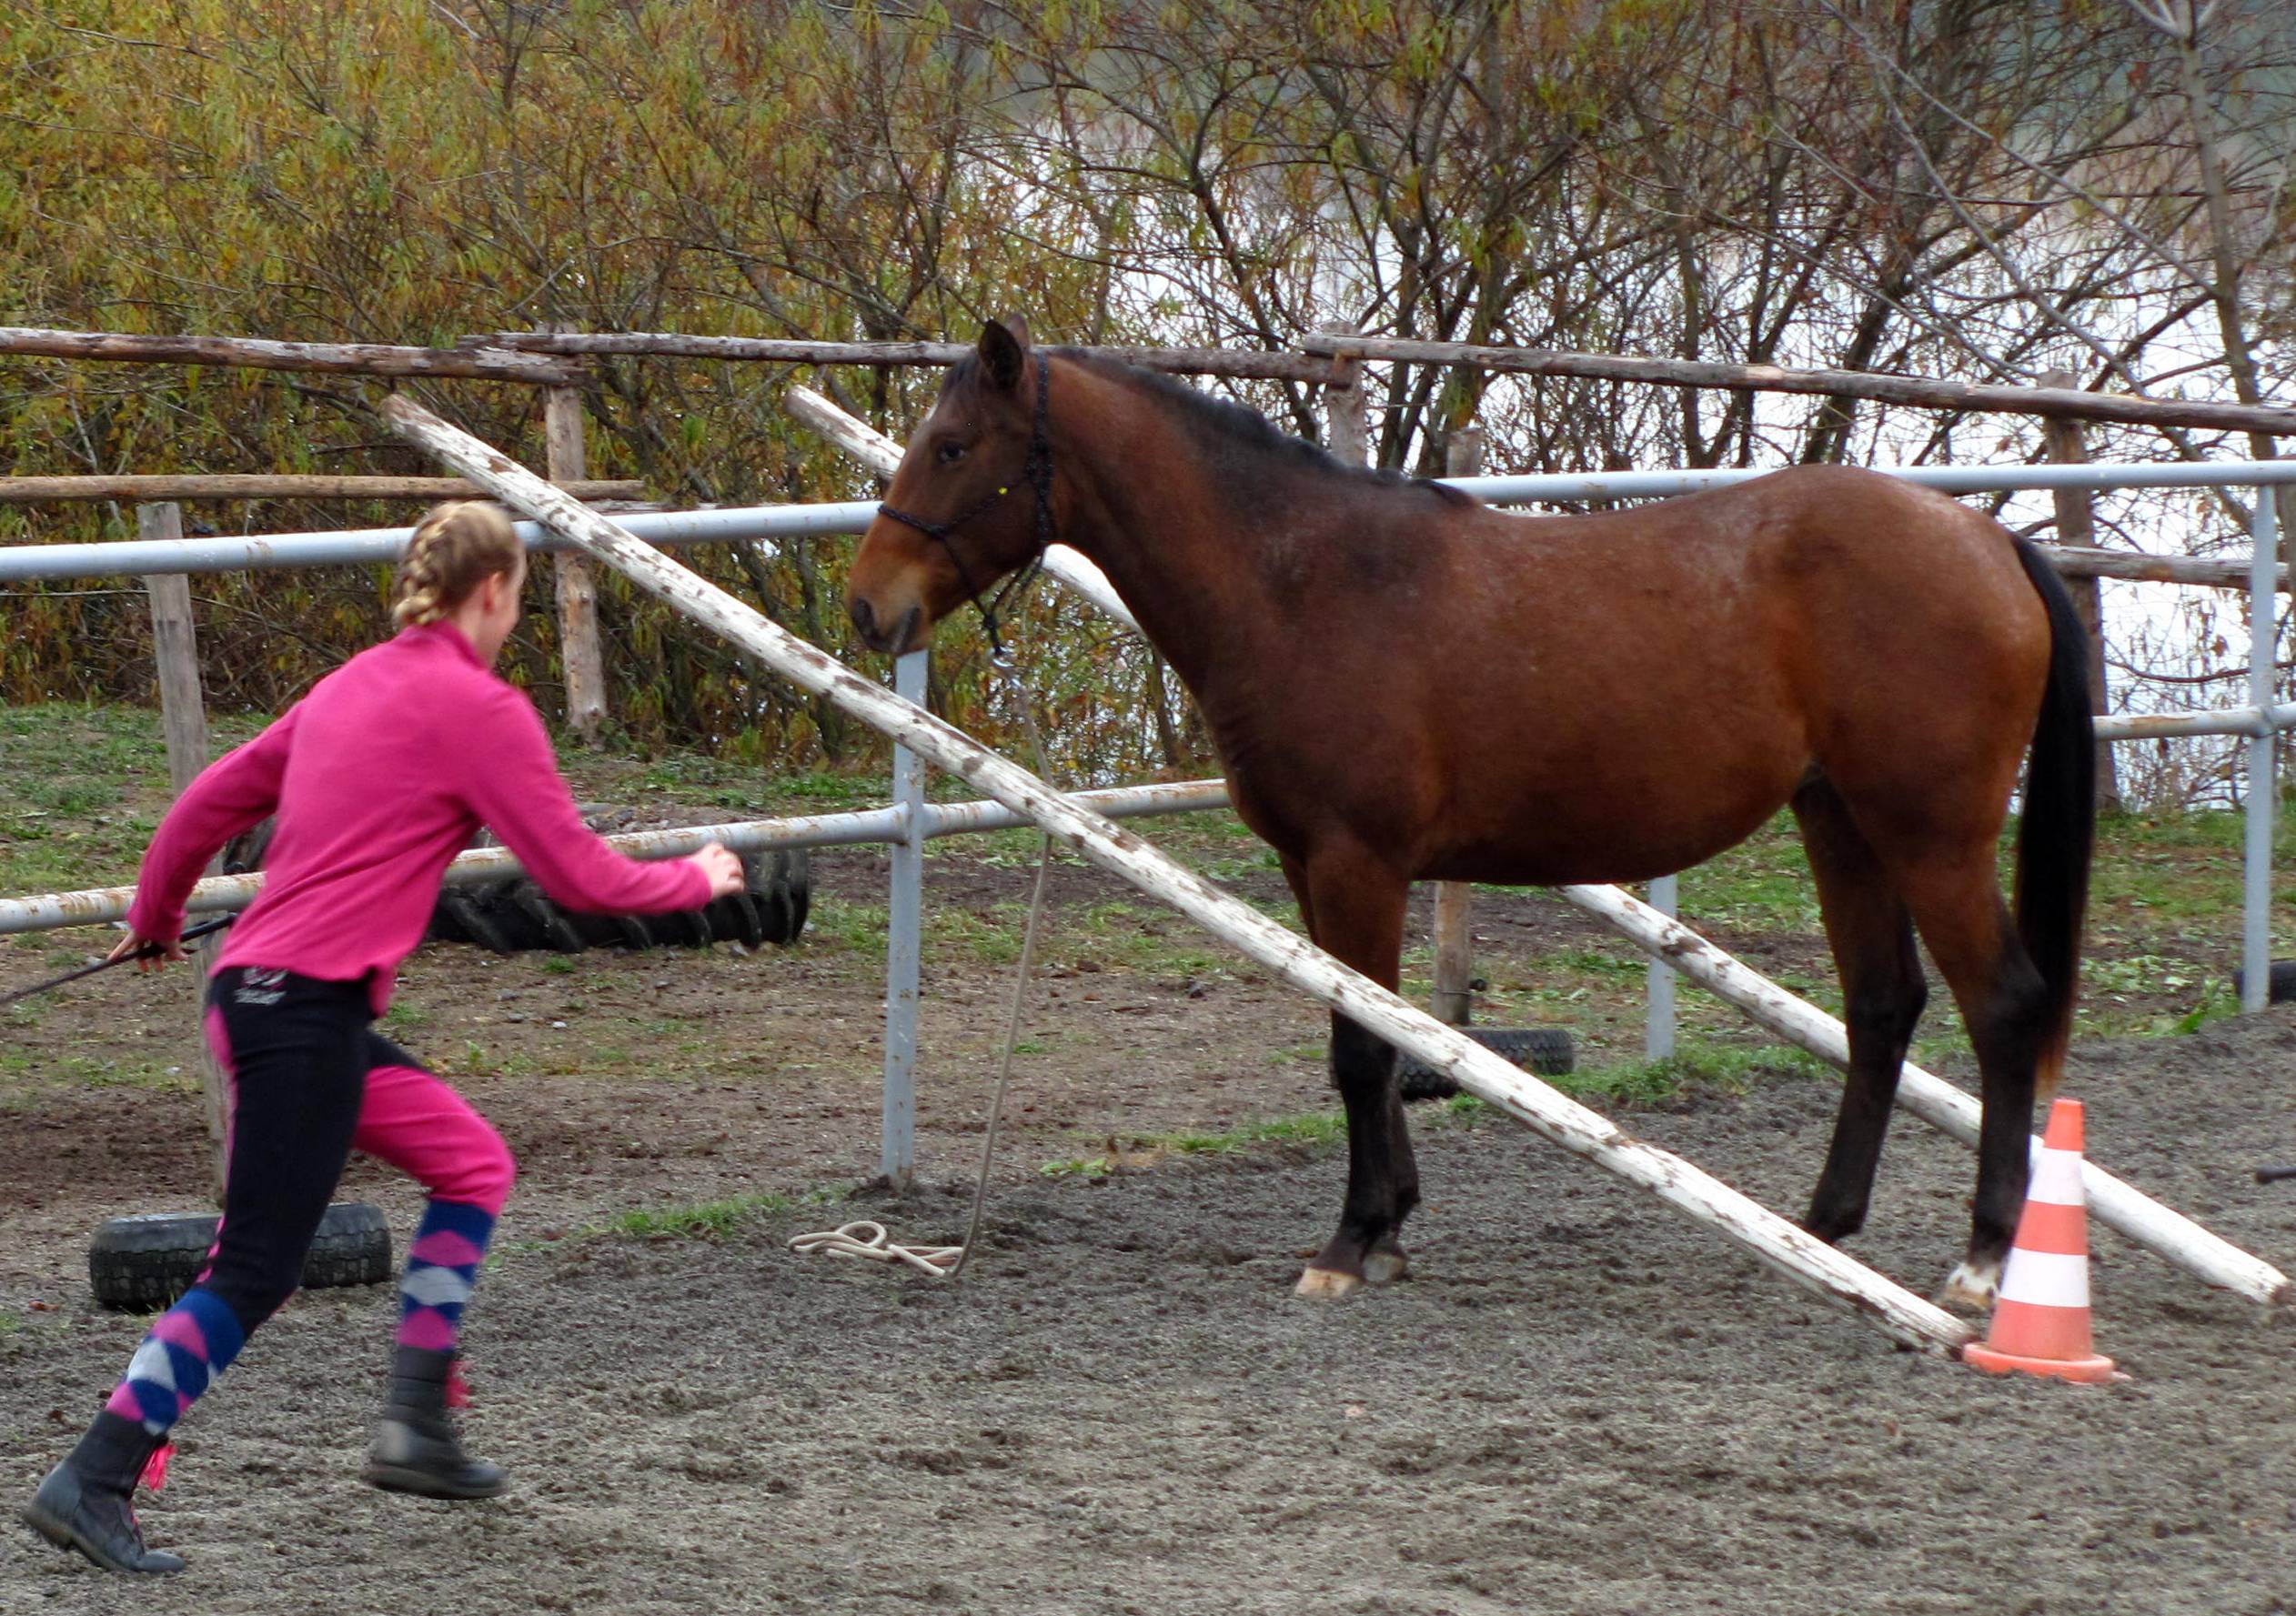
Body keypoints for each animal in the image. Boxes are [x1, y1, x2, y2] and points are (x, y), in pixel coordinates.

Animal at [849, 318, 2102, 1312]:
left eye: (953, 447)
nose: (869, 607)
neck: (1306, 582)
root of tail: (1988, 542)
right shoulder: (1312, 867)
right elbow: (1367, 1030)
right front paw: (1390, 1221)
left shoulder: (1358, 862)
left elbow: (1363, 1048)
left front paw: (1351, 1241)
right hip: (1840, 821)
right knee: (1883, 1008)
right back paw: (1823, 1227)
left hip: (1930, 836)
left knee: (2002, 1005)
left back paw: (1982, 1261)